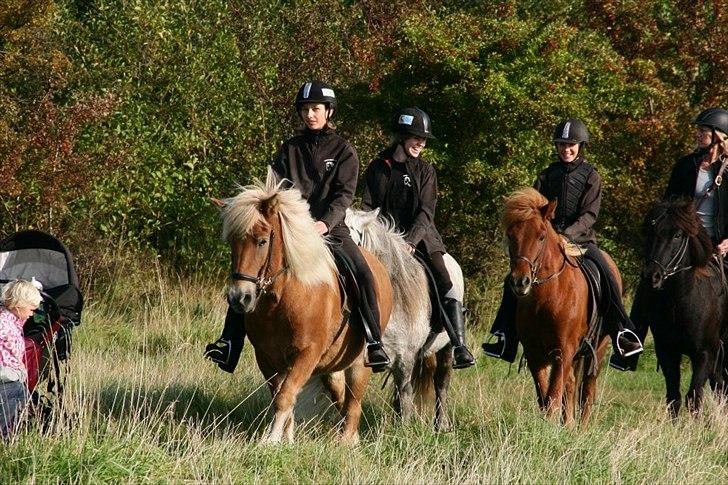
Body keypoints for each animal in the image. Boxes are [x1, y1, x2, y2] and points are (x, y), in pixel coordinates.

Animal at [216, 173, 392, 442]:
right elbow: (281, 395)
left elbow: (285, 395)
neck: (283, 299)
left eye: (262, 241)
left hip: (360, 363)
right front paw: (286, 439)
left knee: (353, 404)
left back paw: (345, 443)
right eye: (232, 243)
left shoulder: (307, 354)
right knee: (341, 397)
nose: (239, 298)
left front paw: (271, 440)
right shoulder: (266, 357)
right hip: (331, 367)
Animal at [344, 207, 464, 428]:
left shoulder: (406, 357)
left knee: (441, 382)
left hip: (446, 347)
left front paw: (403, 429)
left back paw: (441, 425)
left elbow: (405, 393)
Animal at [506, 187, 616, 426]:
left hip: (598, 350)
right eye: (510, 235)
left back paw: (581, 427)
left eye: (541, 236)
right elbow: (545, 396)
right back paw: (569, 423)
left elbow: (554, 396)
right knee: (572, 383)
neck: (547, 298)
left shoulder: (563, 351)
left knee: (587, 390)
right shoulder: (535, 353)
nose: (520, 282)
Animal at [644, 199, 728, 414]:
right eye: (651, 231)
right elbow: (674, 398)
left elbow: (694, 398)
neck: (680, 302)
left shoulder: (704, 355)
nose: (652, 276)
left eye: (678, 235)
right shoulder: (667, 352)